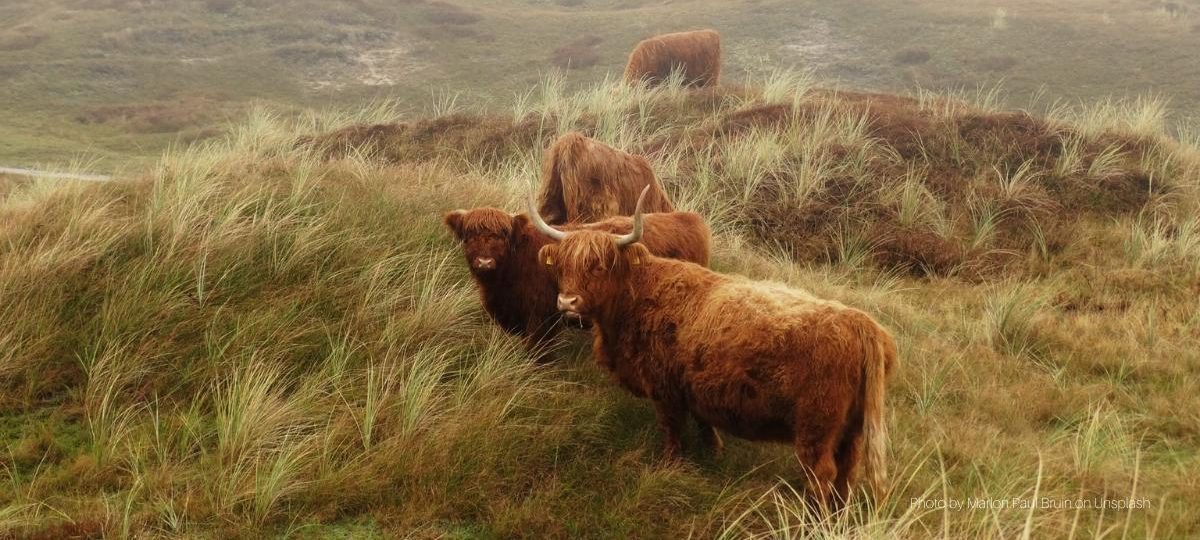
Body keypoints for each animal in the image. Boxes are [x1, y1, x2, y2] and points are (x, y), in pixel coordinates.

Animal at [444, 206, 710, 362]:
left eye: (501, 234)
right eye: (469, 236)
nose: (484, 261)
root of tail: (688, 217)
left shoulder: (540, 319)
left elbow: (538, 354)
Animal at [529, 188, 897, 506]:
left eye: (599, 265)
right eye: (563, 265)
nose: (567, 301)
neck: (635, 298)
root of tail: (863, 324)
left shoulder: (664, 389)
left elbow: (672, 431)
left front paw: (671, 465)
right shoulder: (695, 386)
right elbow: (704, 422)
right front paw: (715, 451)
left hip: (816, 429)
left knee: (822, 475)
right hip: (852, 431)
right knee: (847, 474)